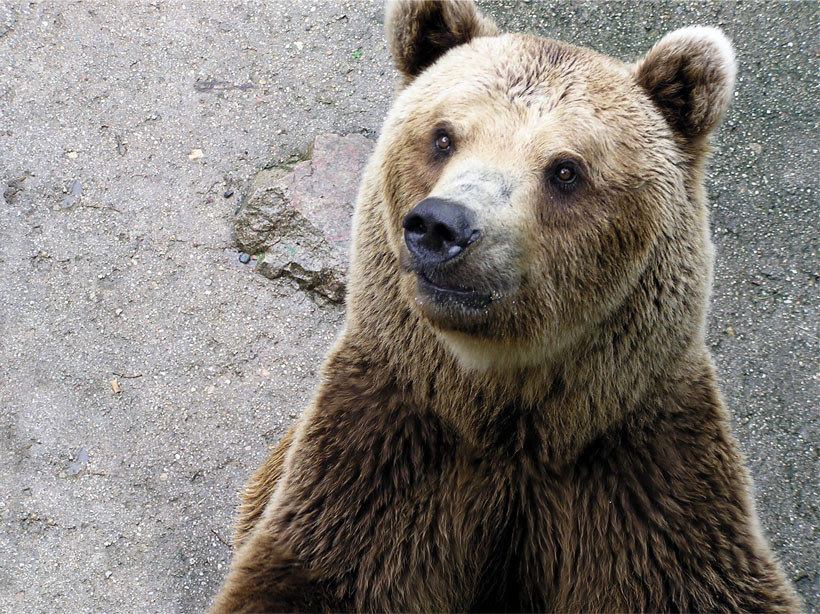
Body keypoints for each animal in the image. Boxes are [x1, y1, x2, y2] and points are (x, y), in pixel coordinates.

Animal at [211, 1, 801, 611]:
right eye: (443, 136)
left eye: (566, 169)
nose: (441, 225)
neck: (506, 417)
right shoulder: (384, 454)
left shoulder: (644, 479)